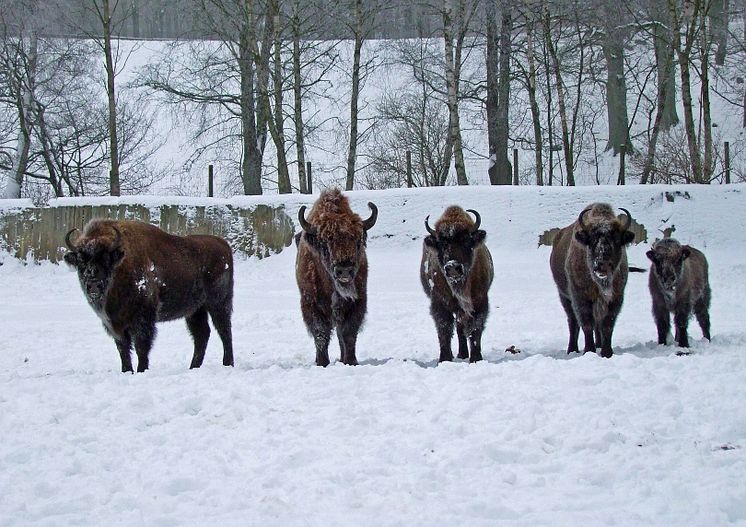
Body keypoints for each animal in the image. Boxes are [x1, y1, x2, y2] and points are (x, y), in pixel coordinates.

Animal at [64, 221, 234, 374]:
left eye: (106, 258)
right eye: (81, 260)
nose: (92, 281)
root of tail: (223, 244)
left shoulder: (143, 318)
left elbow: (141, 346)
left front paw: (141, 370)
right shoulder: (115, 324)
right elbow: (123, 349)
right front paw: (127, 371)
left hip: (218, 303)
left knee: (224, 331)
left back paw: (228, 363)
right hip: (195, 310)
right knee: (202, 335)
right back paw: (193, 367)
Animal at [294, 190, 378, 368]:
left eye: (357, 241)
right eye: (324, 242)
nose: (344, 269)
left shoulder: (357, 302)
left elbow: (348, 333)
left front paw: (351, 362)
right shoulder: (310, 303)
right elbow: (320, 333)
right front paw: (322, 363)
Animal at [418, 206, 494, 364]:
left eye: (466, 240)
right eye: (442, 243)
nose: (453, 267)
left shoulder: (480, 302)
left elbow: (475, 329)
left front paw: (476, 359)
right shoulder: (439, 303)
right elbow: (444, 328)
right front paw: (444, 359)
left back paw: (464, 354)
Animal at [548, 203, 632, 358]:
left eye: (617, 240)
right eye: (592, 241)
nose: (602, 265)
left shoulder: (616, 298)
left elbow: (607, 324)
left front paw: (607, 352)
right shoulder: (580, 298)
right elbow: (586, 324)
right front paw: (589, 350)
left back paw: (598, 344)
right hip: (564, 297)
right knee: (573, 322)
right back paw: (572, 349)